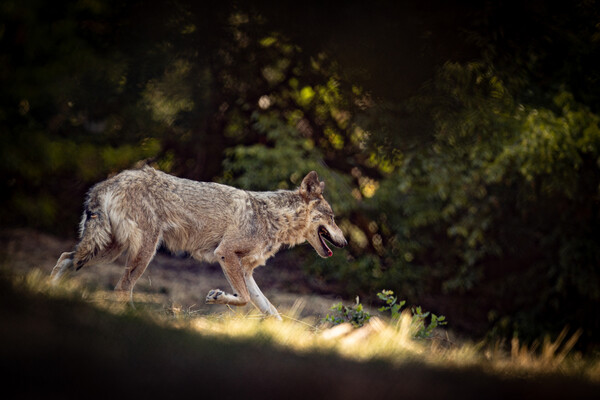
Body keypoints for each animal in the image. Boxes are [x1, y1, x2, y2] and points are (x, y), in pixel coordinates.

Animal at [51, 166, 346, 318]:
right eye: (332, 218)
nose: (345, 243)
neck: (273, 216)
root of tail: (110, 181)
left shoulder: (246, 271)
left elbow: (268, 308)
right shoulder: (225, 254)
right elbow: (244, 299)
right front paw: (218, 297)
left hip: (109, 249)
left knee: (65, 257)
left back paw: (50, 291)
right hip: (143, 252)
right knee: (122, 288)